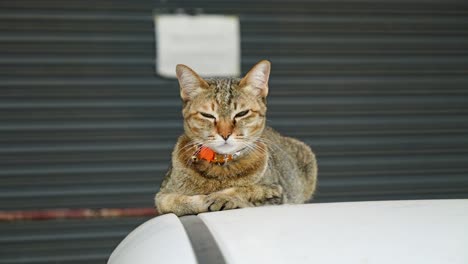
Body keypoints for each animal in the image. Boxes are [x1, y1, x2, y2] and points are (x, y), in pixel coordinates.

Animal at [154, 60, 318, 217]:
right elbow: (177, 201)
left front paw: (223, 197)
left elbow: (247, 190)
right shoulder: (162, 196)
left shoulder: (277, 191)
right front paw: (203, 199)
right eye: (207, 115)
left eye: (242, 113)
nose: (225, 134)